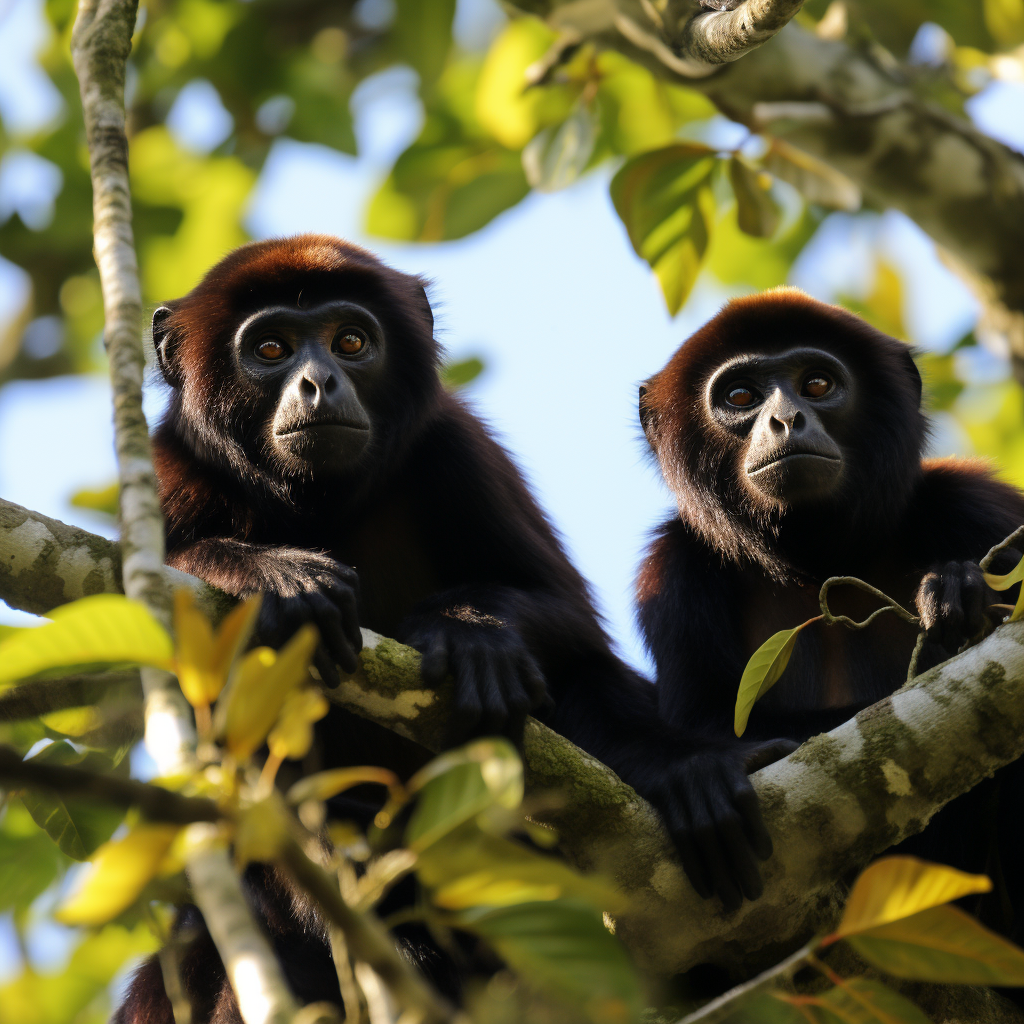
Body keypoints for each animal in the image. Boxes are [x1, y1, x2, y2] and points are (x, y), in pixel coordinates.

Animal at [117, 234, 679, 1024]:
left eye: (351, 342)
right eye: (270, 348)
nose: (318, 383)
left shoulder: (457, 445)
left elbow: (568, 613)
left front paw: (473, 631)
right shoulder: (169, 470)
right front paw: (275, 576)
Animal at [634, 290, 1024, 921]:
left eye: (816, 384)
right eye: (740, 397)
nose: (786, 419)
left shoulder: (982, 507)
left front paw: (961, 593)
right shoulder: (672, 572)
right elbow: (709, 722)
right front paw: (697, 778)